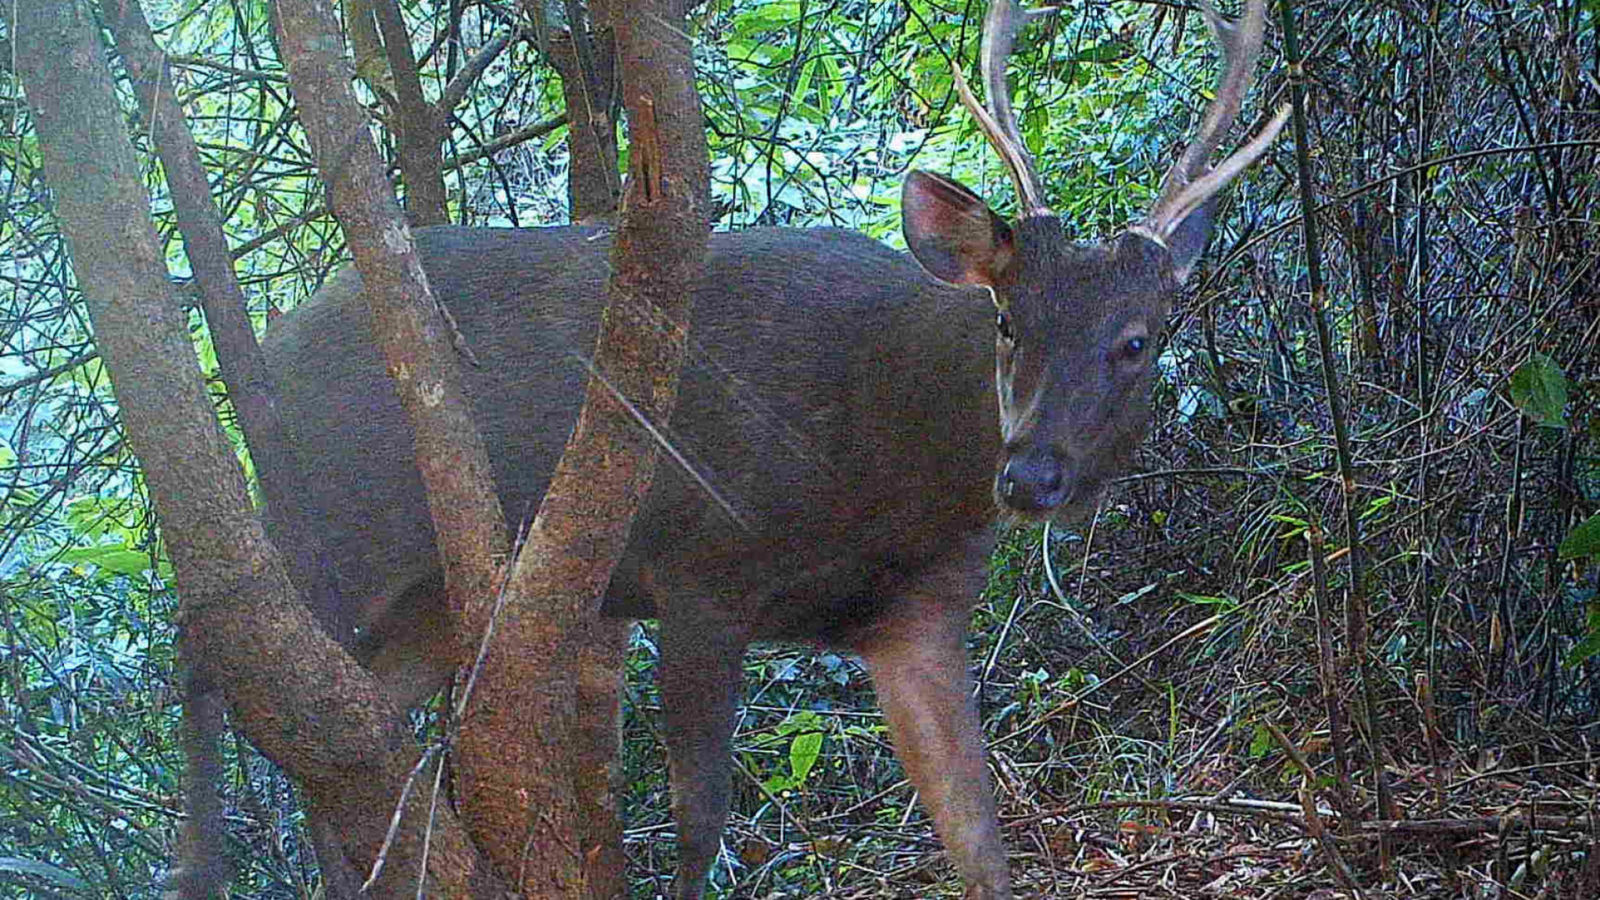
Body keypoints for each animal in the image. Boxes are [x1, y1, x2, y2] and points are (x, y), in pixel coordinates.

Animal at [262, 3, 1286, 890]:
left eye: (1137, 339)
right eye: (1007, 321)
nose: (1032, 475)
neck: (880, 470)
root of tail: (273, 349)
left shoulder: (916, 617)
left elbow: (978, 834)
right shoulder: (697, 566)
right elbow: (700, 828)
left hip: (430, 601)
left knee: (351, 733)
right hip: (332, 542)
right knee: (284, 718)